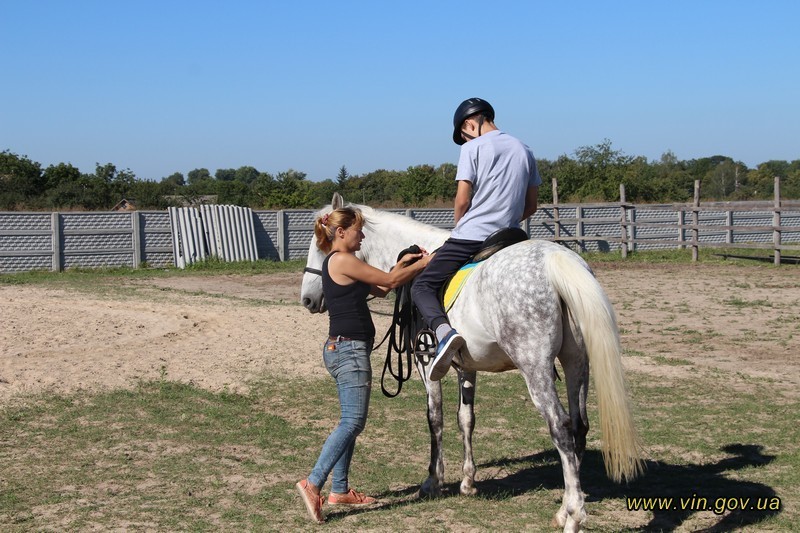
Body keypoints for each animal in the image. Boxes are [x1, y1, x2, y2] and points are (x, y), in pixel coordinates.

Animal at [300, 195, 644, 532]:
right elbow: (466, 418)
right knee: (579, 425)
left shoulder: (427, 365)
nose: (307, 299)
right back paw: (564, 508)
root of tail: (557, 259)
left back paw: (573, 515)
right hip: (576, 363)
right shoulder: (467, 366)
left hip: (536, 369)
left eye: (322, 245)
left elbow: (435, 419)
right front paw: (467, 481)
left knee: (560, 426)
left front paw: (433, 481)